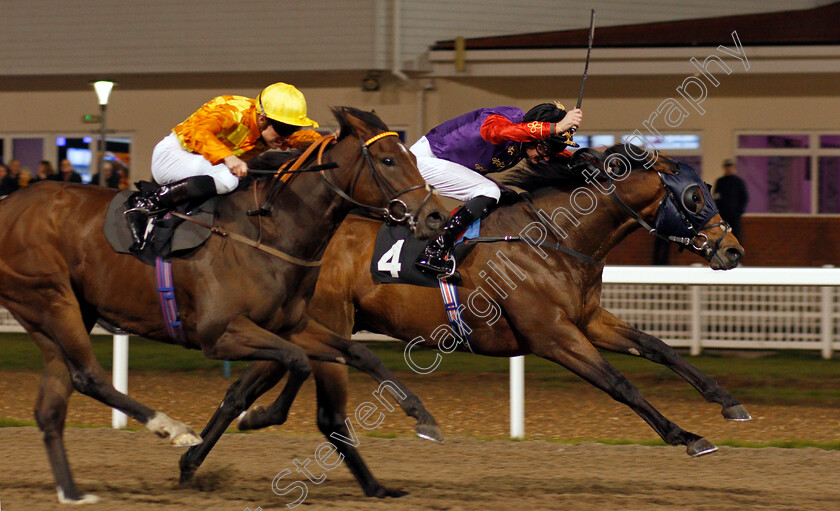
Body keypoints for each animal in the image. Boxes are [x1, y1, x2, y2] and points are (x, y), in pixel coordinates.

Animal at [0, 107, 452, 504]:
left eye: (414, 156)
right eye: (389, 159)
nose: (435, 218)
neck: (268, 230)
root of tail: (10, 203)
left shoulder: (291, 324)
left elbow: (359, 354)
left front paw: (424, 419)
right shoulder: (220, 334)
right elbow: (297, 362)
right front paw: (260, 416)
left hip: (58, 312)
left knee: (53, 406)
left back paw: (72, 492)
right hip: (52, 299)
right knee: (88, 376)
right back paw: (171, 428)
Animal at [177, 144, 748, 500]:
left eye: (710, 189)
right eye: (695, 197)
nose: (733, 251)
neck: (553, 237)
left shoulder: (587, 320)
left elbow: (659, 348)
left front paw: (727, 402)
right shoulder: (553, 336)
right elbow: (621, 384)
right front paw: (685, 435)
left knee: (249, 388)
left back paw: (206, 452)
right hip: (323, 318)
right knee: (280, 389)